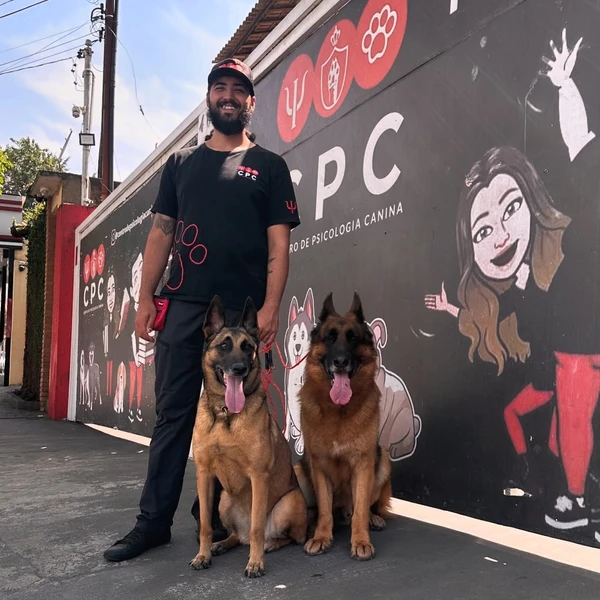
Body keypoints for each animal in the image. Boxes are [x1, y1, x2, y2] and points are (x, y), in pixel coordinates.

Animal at [189, 295, 308, 578]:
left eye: (248, 348)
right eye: (224, 345)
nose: (239, 369)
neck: (225, 415)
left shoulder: (258, 476)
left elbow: (257, 528)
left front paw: (255, 563)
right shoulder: (204, 474)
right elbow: (205, 525)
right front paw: (203, 554)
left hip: (290, 501)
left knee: (282, 535)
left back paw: (271, 543)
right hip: (223, 499)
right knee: (238, 535)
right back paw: (223, 543)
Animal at [294, 292, 393, 561]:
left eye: (353, 338)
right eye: (329, 337)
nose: (340, 361)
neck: (338, 411)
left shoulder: (363, 464)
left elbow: (360, 510)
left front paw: (360, 541)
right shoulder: (319, 466)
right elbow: (325, 510)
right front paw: (321, 537)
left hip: (382, 461)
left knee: (364, 506)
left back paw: (373, 518)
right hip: (300, 471)